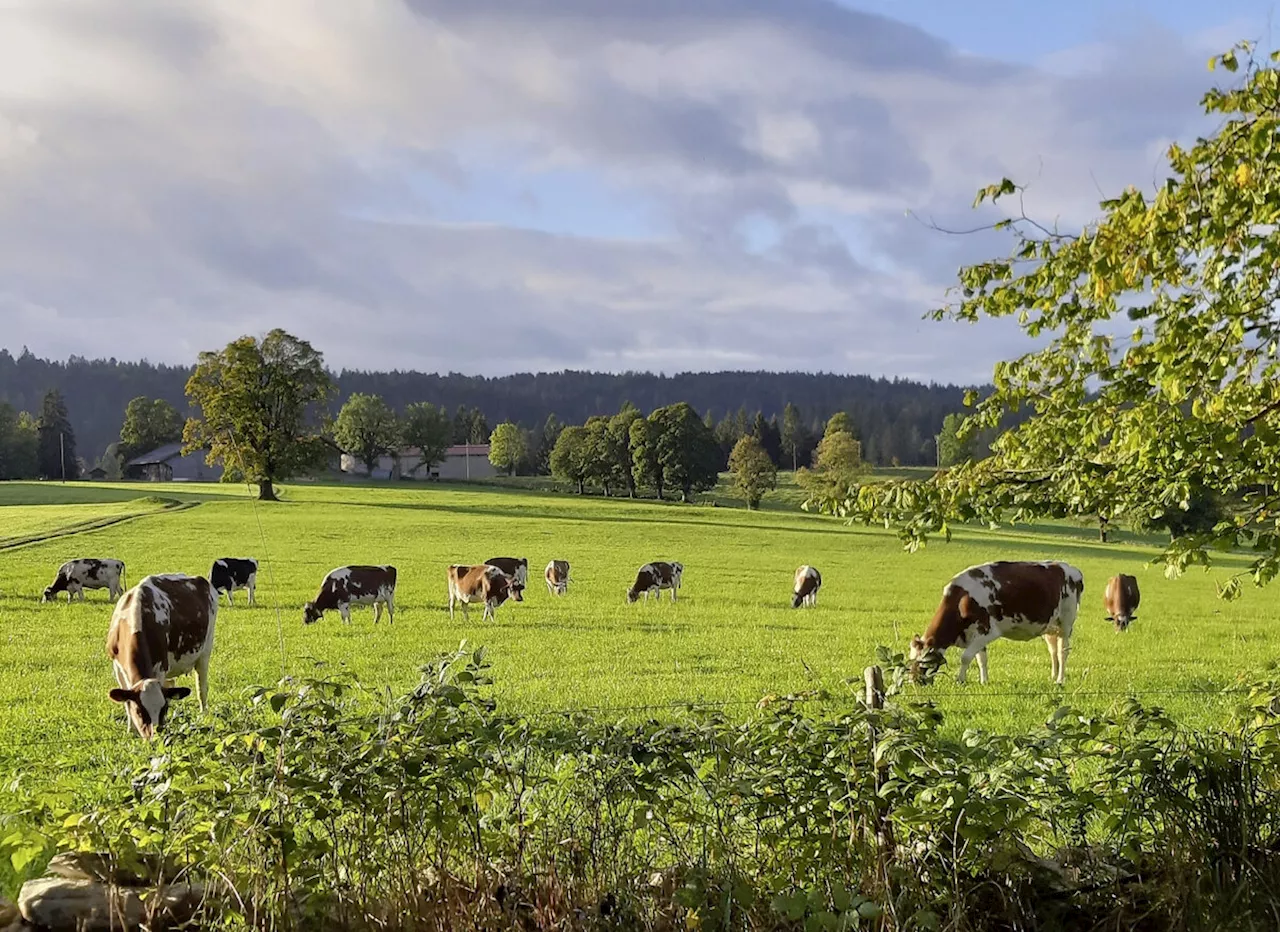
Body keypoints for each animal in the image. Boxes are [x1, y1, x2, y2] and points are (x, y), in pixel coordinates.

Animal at [104, 570, 217, 737]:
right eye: (139, 711)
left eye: (163, 710)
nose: (155, 736)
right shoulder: (117, 667)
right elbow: (127, 702)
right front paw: (131, 730)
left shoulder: (161, 666)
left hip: (205, 652)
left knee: (201, 688)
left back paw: (203, 714)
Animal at [906, 560, 1085, 686]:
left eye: (922, 663)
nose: (913, 682)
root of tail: (1071, 568)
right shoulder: (975, 634)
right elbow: (981, 659)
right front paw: (984, 681)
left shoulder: (988, 631)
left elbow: (966, 657)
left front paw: (960, 680)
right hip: (1050, 627)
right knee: (1053, 651)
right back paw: (1053, 676)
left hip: (1066, 623)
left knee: (1063, 651)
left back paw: (1060, 680)